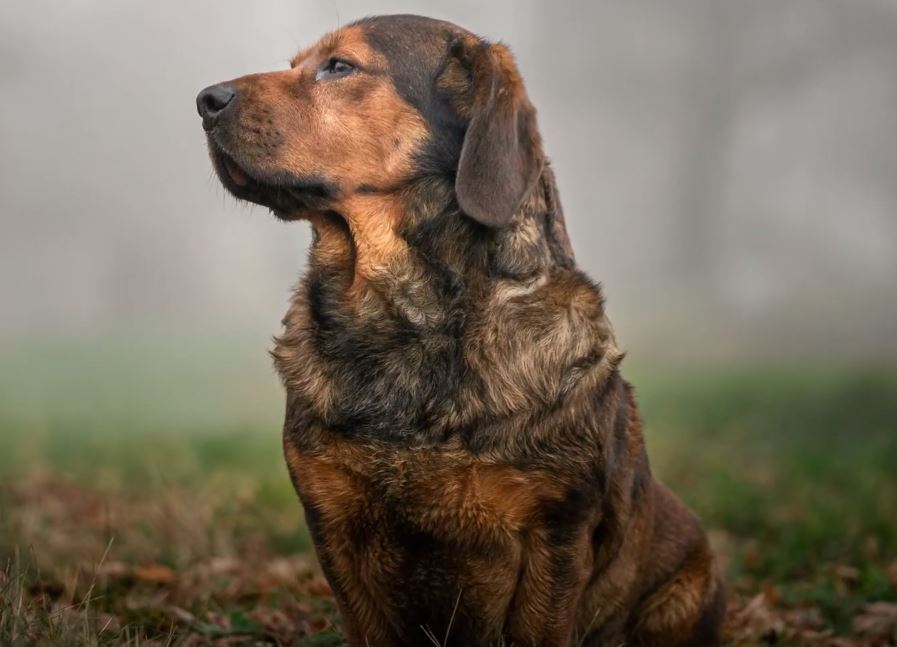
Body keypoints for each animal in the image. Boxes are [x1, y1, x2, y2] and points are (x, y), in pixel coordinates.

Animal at [198, 12, 728, 644]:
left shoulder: (555, 537)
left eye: (339, 66)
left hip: (687, 588)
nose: (204, 99)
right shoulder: (335, 525)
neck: (407, 318)